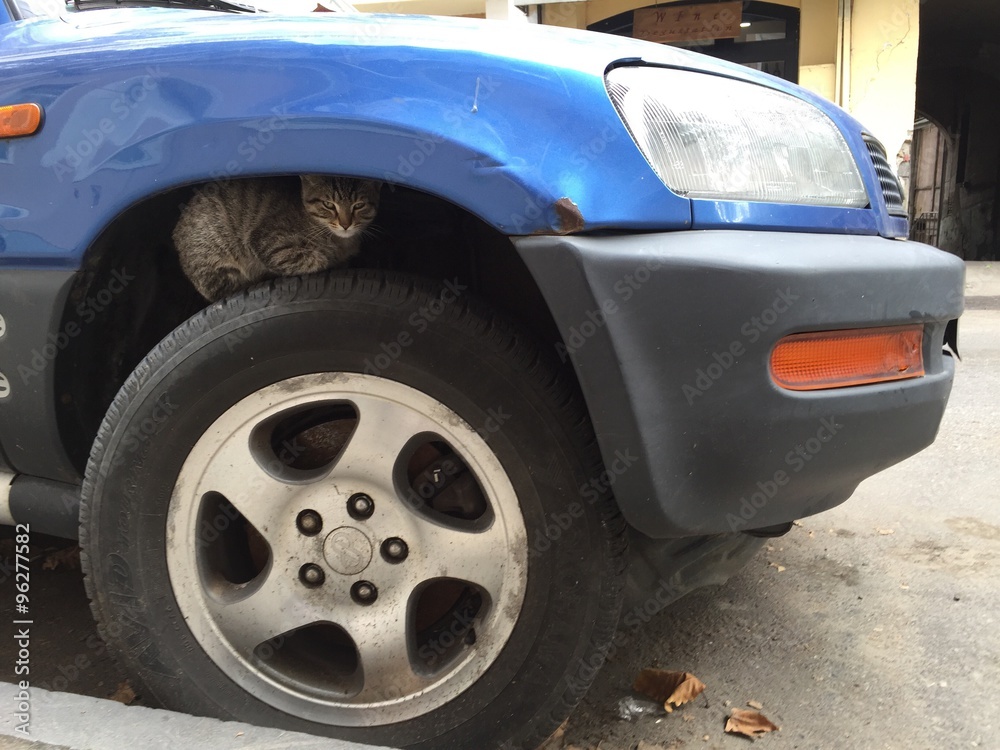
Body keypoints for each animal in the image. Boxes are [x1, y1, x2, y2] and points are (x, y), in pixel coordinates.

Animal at [174, 176, 380, 302]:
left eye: (359, 205)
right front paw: (329, 258)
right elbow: (314, 260)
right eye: (328, 204)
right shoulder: (267, 242)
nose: (345, 224)